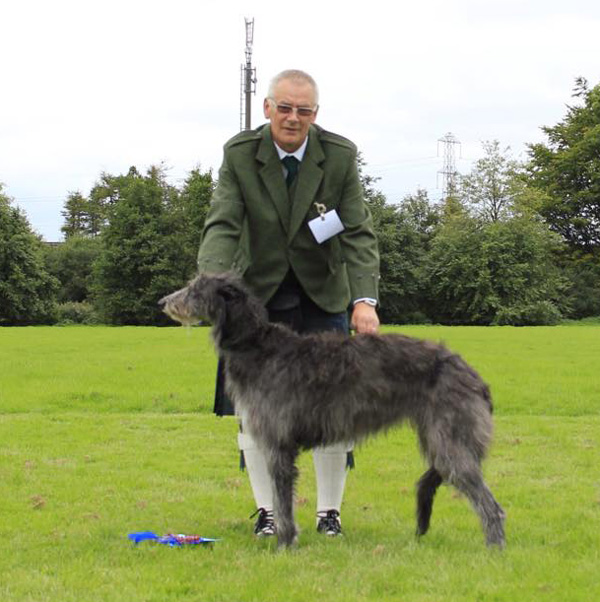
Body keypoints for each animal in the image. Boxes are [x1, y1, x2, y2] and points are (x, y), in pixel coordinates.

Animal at [159, 272, 506, 548]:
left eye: (194, 289)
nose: (163, 301)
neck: (256, 345)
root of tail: (474, 376)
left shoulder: (278, 443)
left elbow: (283, 501)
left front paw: (285, 544)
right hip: (436, 436)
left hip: (450, 440)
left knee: (491, 505)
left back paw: (495, 550)